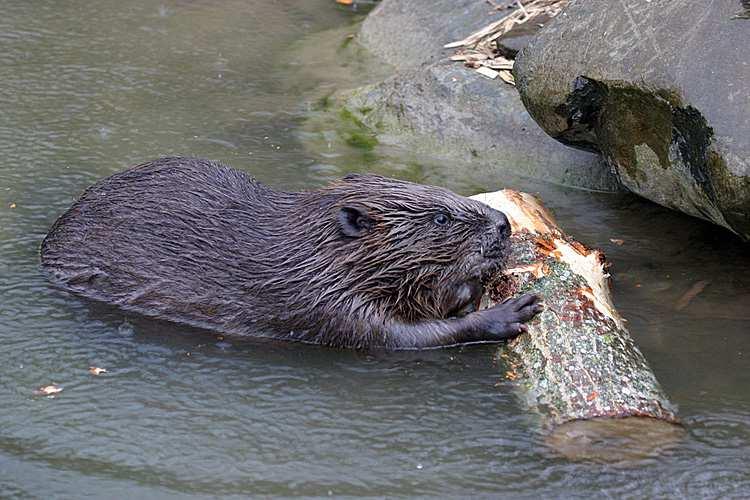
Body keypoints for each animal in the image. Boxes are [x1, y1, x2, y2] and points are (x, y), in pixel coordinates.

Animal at [41, 156, 544, 348]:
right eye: (440, 218)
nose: (503, 224)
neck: (308, 249)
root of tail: (51, 238)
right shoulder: (323, 301)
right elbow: (400, 338)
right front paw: (513, 310)